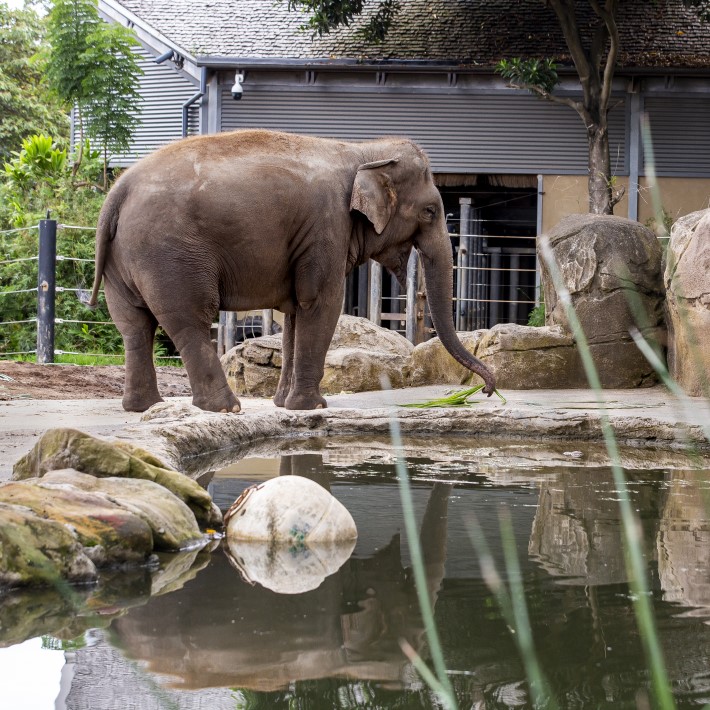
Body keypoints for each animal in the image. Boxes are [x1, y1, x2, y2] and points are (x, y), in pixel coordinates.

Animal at [88, 129, 496, 412]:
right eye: (430, 211)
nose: (487, 390)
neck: (363, 150)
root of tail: (116, 191)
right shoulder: (326, 226)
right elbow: (322, 303)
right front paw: (312, 407)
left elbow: (297, 311)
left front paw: (283, 405)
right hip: (170, 254)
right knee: (189, 320)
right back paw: (226, 408)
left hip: (124, 259)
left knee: (134, 325)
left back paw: (145, 406)